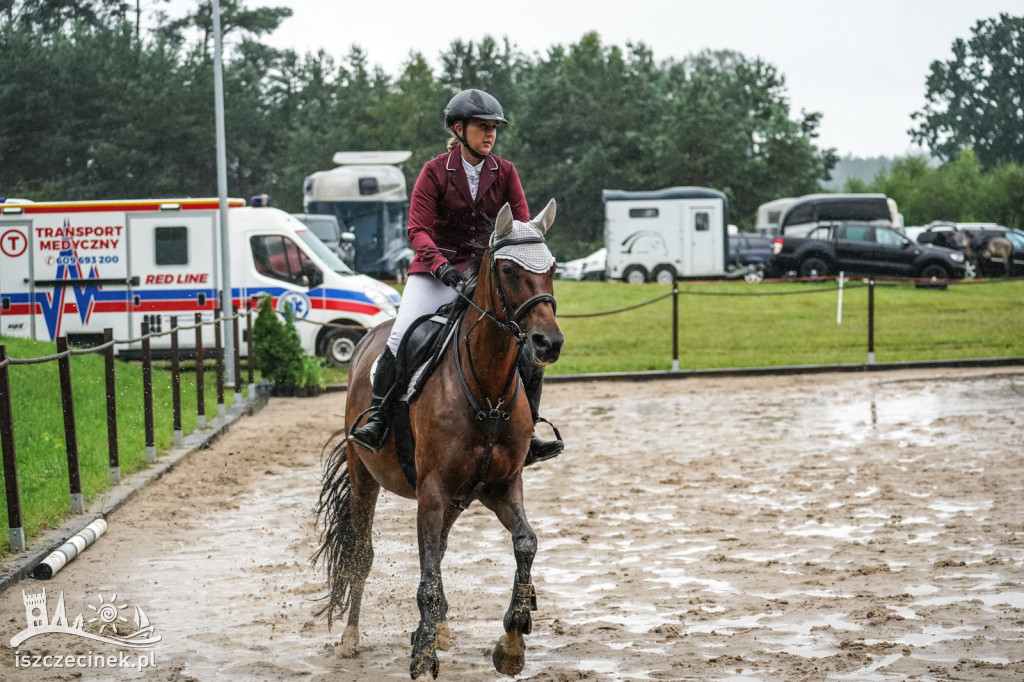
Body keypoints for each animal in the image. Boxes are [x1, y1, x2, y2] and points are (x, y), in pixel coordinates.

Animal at [315, 196, 565, 675]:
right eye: (509, 271)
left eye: (553, 268)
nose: (548, 343)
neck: (486, 388)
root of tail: (367, 339)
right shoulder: (431, 490)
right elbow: (427, 578)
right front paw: (422, 655)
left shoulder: (500, 485)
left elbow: (525, 543)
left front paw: (512, 640)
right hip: (364, 474)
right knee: (362, 554)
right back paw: (351, 637)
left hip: (457, 498)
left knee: (441, 550)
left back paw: (442, 630)